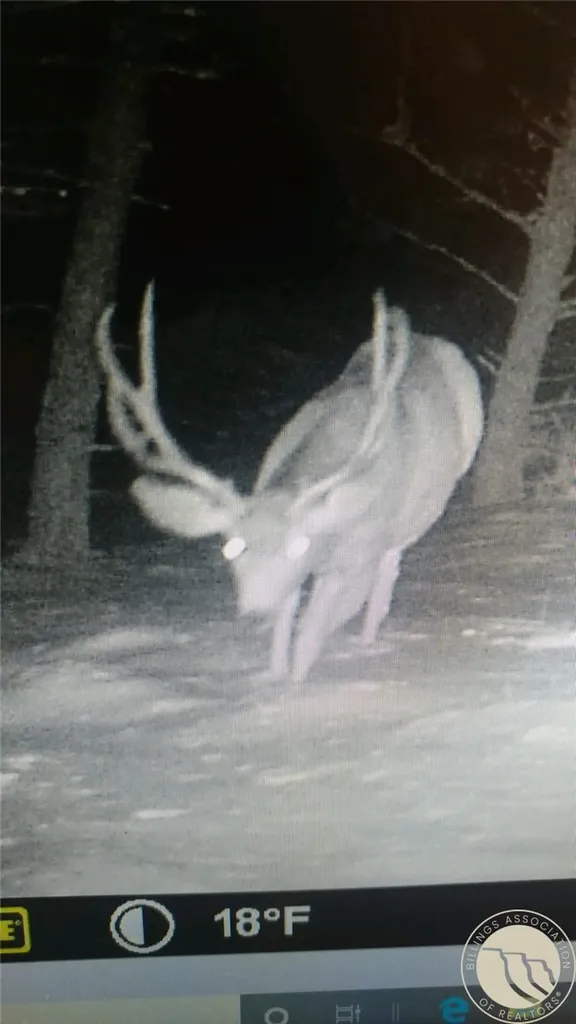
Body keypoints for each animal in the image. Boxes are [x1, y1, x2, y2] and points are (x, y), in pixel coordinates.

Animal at [95, 285, 484, 683]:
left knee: (388, 571)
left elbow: (310, 634)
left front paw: (295, 688)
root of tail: (425, 338)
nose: (254, 611)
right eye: (231, 547)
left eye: (298, 545)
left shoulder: (358, 555)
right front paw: (273, 677)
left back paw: (368, 642)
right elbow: (283, 635)